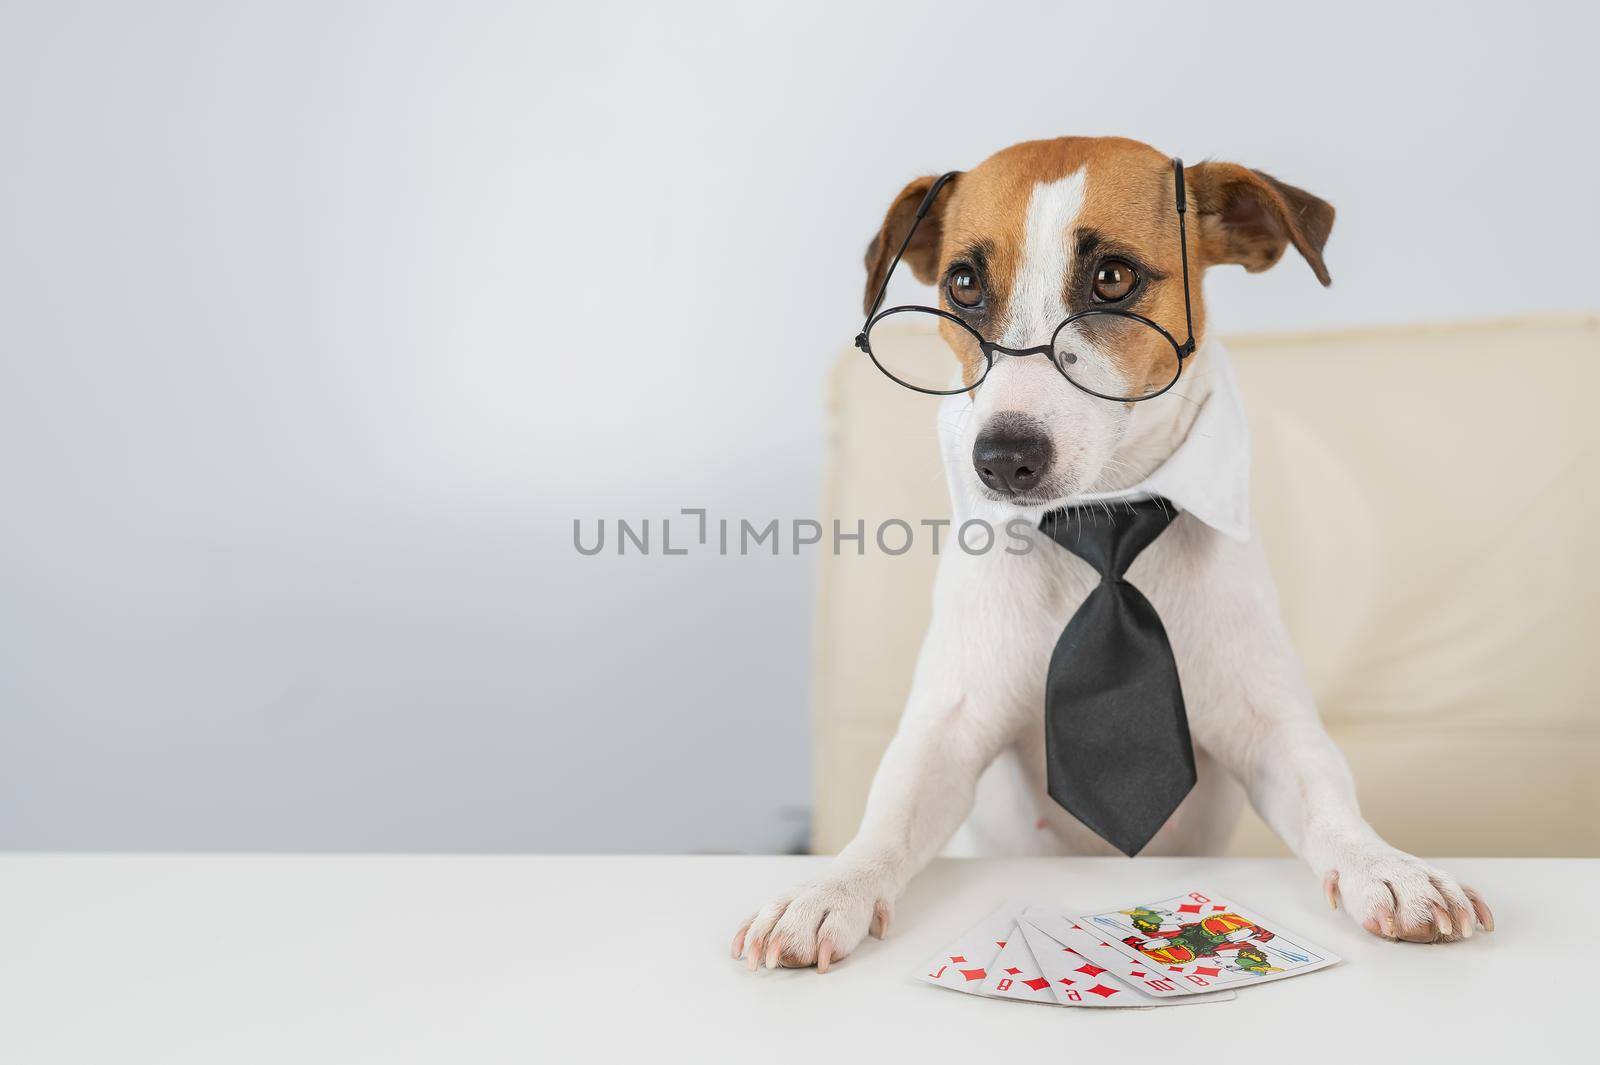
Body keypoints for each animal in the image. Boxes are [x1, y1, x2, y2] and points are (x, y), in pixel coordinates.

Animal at [732, 132, 1491, 972]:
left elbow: (1327, 795)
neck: (1098, 525)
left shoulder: (1270, 727)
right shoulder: (948, 729)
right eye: (963, 283)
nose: (1002, 457)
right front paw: (829, 888)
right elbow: (889, 815)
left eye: (1114, 277)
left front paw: (1386, 866)